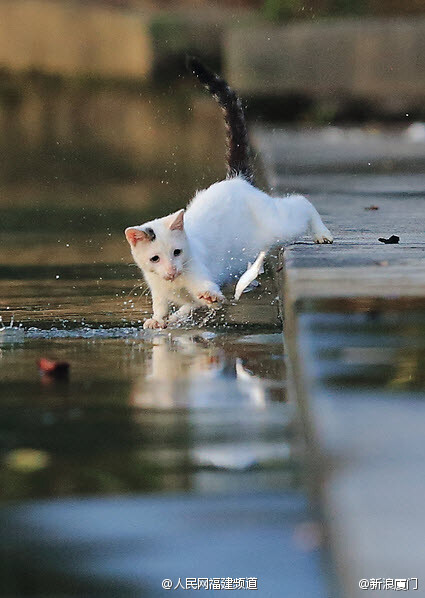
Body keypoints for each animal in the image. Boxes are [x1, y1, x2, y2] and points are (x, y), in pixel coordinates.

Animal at [123, 58, 332, 330]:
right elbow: (168, 306)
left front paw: (208, 298)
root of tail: (237, 180)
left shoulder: (200, 273)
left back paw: (322, 234)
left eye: (177, 252)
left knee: (300, 202)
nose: (171, 271)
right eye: (155, 258)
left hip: (276, 225)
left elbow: (202, 293)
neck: (175, 282)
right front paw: (159, 320)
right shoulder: (159, 289)